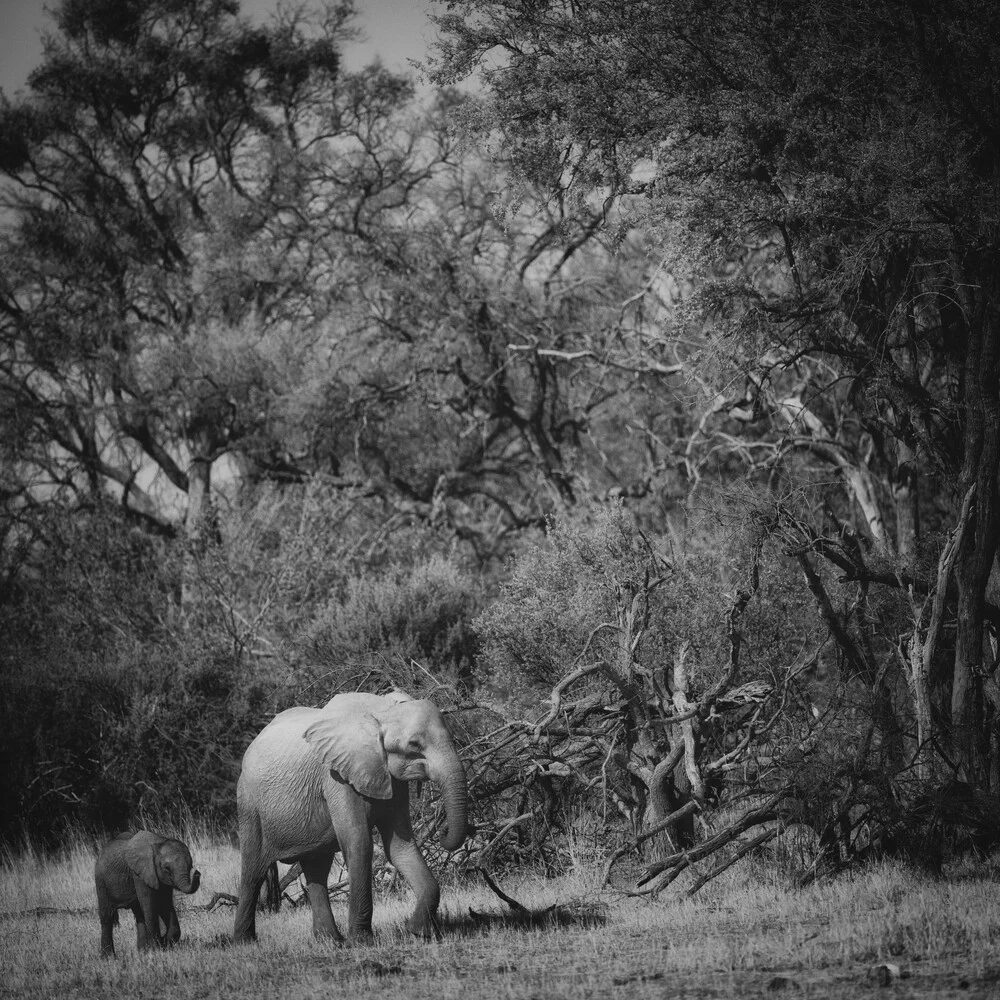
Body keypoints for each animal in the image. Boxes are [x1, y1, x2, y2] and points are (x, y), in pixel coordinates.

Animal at [94, 828, 201, 960]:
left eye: (190, 864)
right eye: (167, 868)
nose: (196, 873)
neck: (159, 842)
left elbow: (165, 905)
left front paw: (162, 944)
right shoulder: (139, 873)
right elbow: (150, 906)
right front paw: (156, 949)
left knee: (139, 915)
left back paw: (141, 953)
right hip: (101, 880)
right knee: (107, 916)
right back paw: (109, 958)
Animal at [234, 692, 468, 940]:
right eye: (414, 744)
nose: (442, 831)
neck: (382, 713)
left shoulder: (392, 779)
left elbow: (400, 845)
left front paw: (417, 931)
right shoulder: (336, 777)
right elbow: (359, 842)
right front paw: (361, 940)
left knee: (316, 868)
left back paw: (330, 940)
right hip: (248, 802)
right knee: (253, 870)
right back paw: (244, 941)